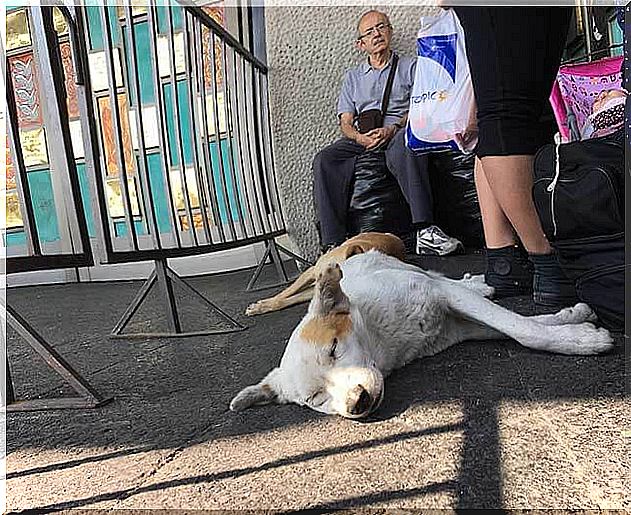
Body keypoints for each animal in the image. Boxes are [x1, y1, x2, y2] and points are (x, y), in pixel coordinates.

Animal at [231, 249, 612, 420]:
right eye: (315, 398)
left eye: (334, 349)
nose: (357, 403)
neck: (384, 341)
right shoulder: (458, 327)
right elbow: (521, 326)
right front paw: (573, 321)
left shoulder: (444, 295)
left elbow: (522, 329)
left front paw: (582, 341)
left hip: (415, 272)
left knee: (445, 277)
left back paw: (480, 283)